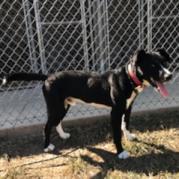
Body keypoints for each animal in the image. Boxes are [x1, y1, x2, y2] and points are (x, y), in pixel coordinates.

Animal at [1, 49, 172, 159]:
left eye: (164, 63)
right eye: (153, 65)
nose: (170, 76)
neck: (129, 77)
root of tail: (48, 77)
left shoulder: (128, 107)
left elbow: (126, 124)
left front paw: (129, 136)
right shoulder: (115, 112)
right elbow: (117, 134)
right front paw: (120, 152)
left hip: (63, 106)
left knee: (56, 123)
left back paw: (63, 135)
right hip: (56, 107)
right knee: (47, 126)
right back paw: (47, 146)